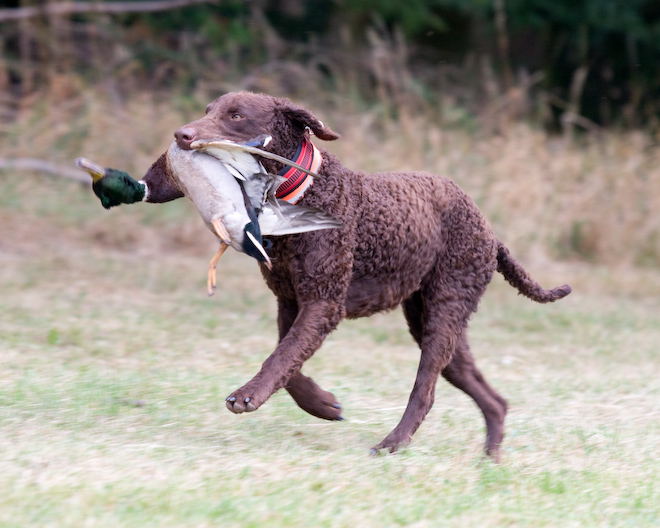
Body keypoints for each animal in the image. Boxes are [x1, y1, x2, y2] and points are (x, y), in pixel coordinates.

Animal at [142, 91, 568, 458]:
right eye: (209, 109)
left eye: (236, 116)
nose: (181, 136)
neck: (303, 190)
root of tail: (490, 234)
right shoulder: (291, 301)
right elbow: (287, 359)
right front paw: (323, 404)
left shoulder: (324, 302)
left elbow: (282, 356)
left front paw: (249, 395)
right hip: (436, 320)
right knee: (490, 396)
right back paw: (490, 459)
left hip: (447, 306)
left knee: (425, 390)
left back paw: (394, 443)